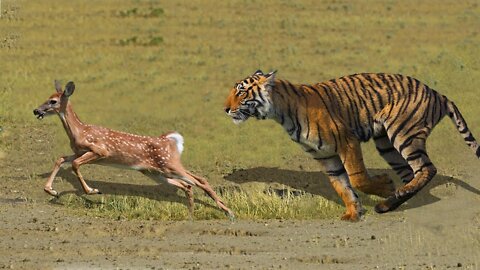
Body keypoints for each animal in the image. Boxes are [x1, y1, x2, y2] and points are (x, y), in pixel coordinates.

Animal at [32, 80, 235, 219]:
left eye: (52, 101)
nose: (36, 110)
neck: (79, 131)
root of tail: (171, 140)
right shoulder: (79, 151)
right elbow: (61, 158)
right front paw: (51, 191)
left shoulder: (100, 151)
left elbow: (74, 164)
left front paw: (93, 191)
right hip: (155, 172)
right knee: (188, 184)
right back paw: (192, 212)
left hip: (169, 164)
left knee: (199, 180)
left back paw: (228, 211)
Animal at [223, 69, 478, 221]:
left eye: (241, 92)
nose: (225, 109)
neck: (281, 113)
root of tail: (437, 93)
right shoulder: (324, 156)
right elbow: (342, 186)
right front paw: (354, 213)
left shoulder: (347, 141)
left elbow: (357, 178)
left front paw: (383, 185)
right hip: (386, 144)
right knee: (412, 173)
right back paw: (392, 203)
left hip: (403, 134)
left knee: (426, 169)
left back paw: (393, 196)